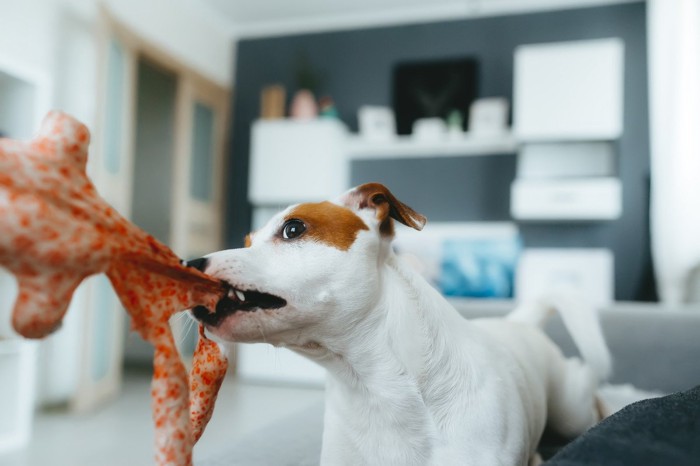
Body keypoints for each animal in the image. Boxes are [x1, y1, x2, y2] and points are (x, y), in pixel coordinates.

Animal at [189, 183, 608, 466]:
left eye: (293, 228)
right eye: (247, 241)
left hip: (571, 412)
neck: (373, 389)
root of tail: (520, 322)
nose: (190, 263)